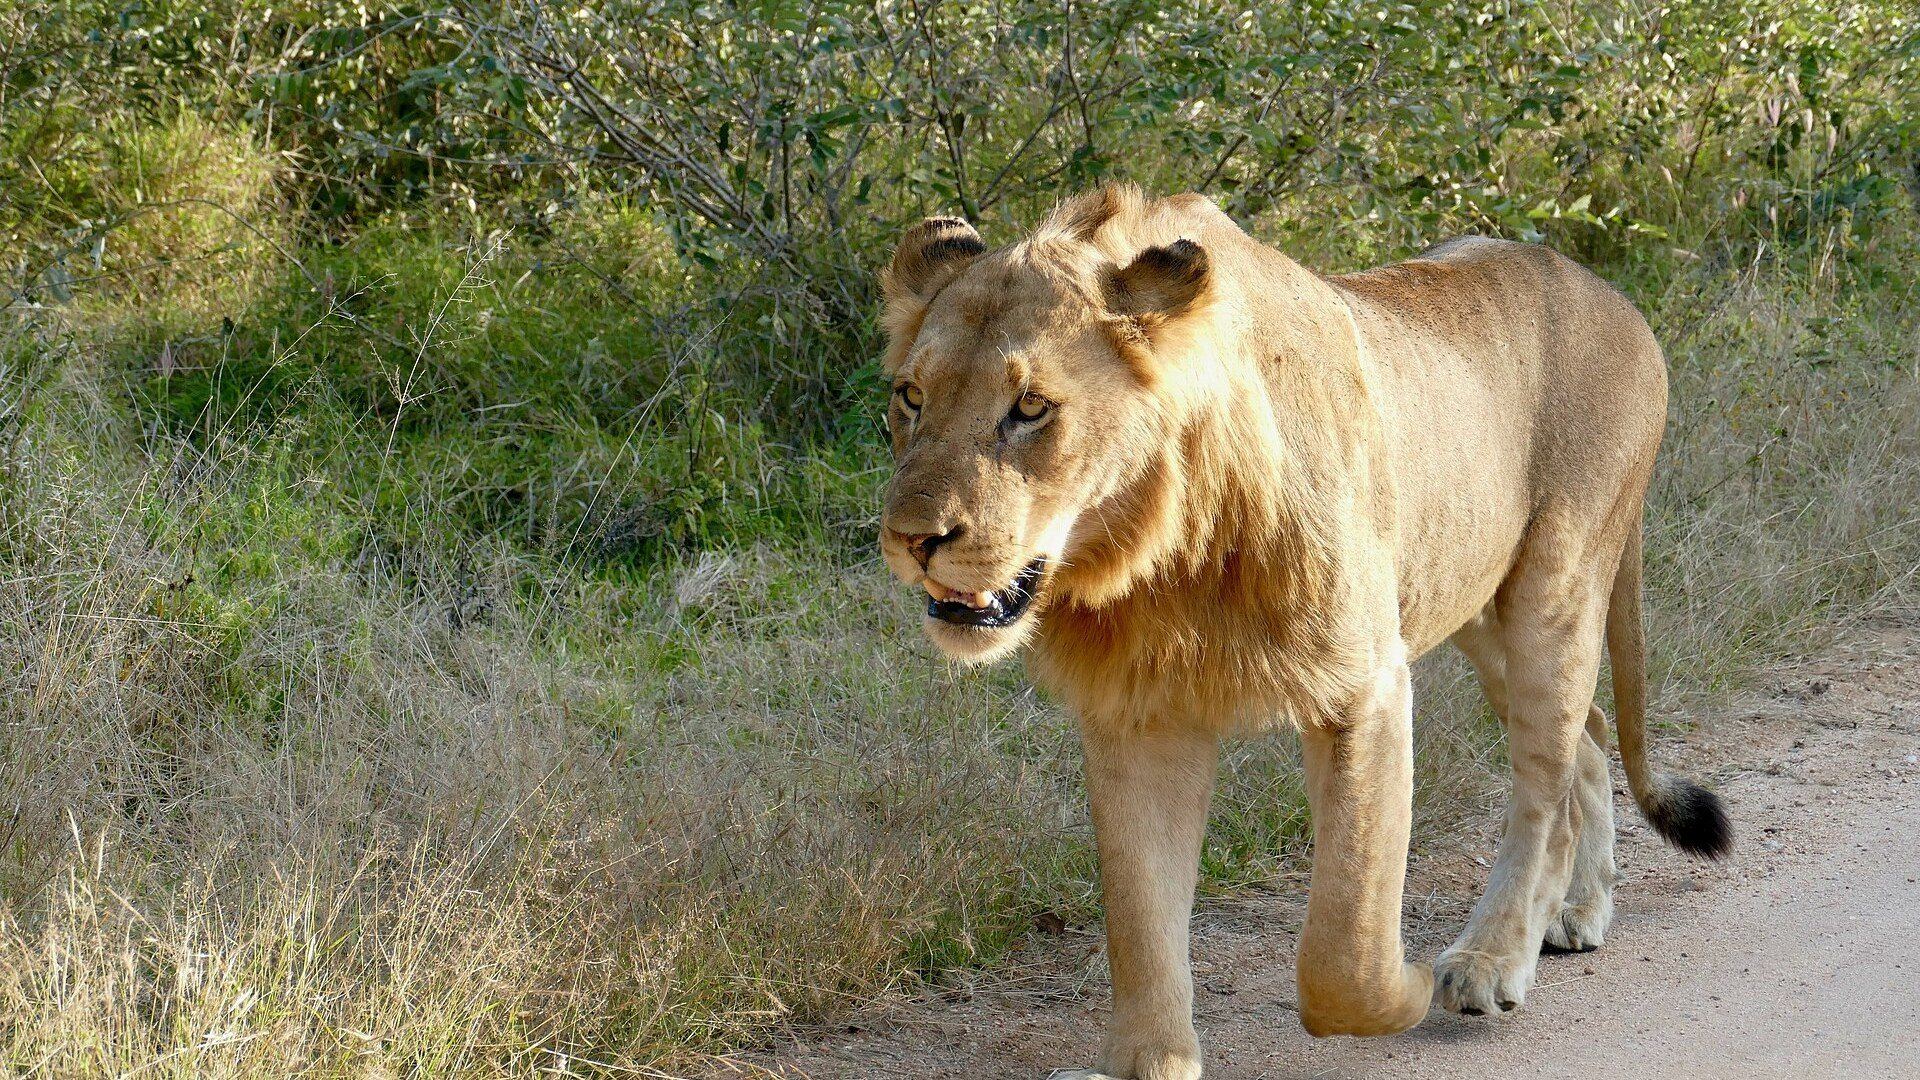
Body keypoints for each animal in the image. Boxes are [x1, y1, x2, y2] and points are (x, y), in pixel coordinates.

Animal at [875, 185, 1731, 1079]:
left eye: (1031, 408)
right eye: (911, 397)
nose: (909, 538)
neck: (1159, 555)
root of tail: (1614, 297)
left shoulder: (1368, 685)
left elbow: (1341, 950)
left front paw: (1407, 986)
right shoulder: (1138, 715)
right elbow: (1140, 921)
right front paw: (1146, 1064)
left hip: (1553, 590)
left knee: (1544, 787)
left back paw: (1491, 958)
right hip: (1469, 603)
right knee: (1587, 736)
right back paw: (1579, 912)